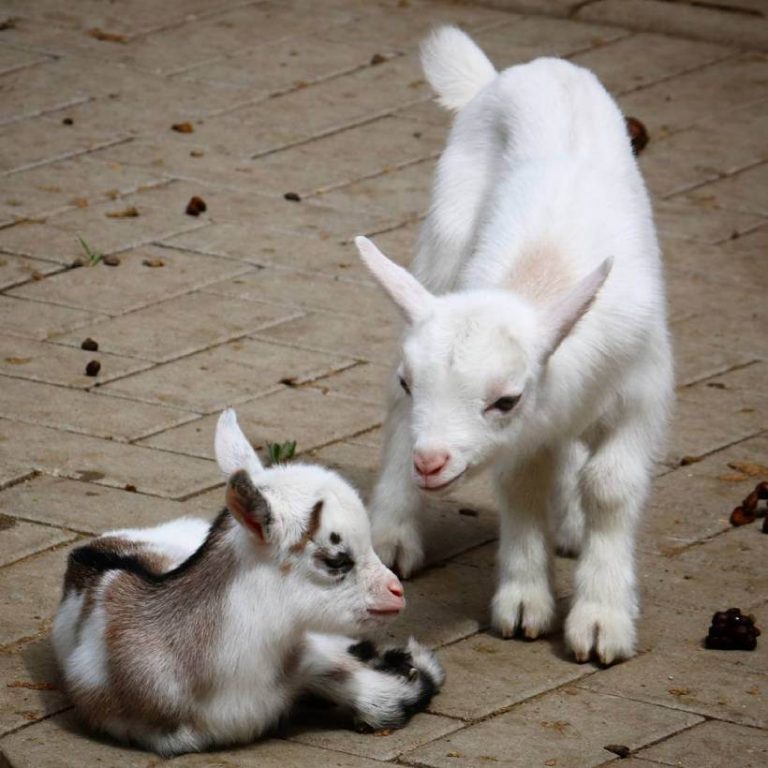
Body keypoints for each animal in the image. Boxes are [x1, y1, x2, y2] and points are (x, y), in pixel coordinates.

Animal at [354, 26, 673, 665]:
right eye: (411, 380)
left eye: (505, 399)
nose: (430, 462)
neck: (541, 278)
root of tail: (518, 73)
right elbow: (522, 483)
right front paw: (525, 604)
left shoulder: (642, 391)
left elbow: (609, 488)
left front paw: (601, 620)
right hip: (444, 239)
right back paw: (393, 533)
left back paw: (570, 524)